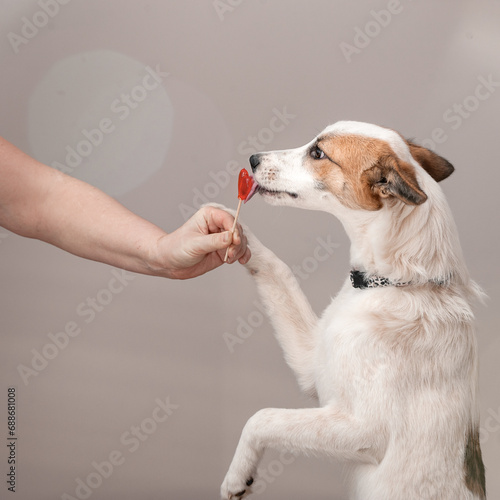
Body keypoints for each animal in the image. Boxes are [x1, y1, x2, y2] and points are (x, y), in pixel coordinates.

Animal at [219, 122, 484, 500]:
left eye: (318, 153)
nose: (253, 158)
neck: (391, 283)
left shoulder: (363, 430)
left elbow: (262, 417)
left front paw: (237, 476)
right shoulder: (311, 364)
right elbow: (278, 270)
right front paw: (229, 227)